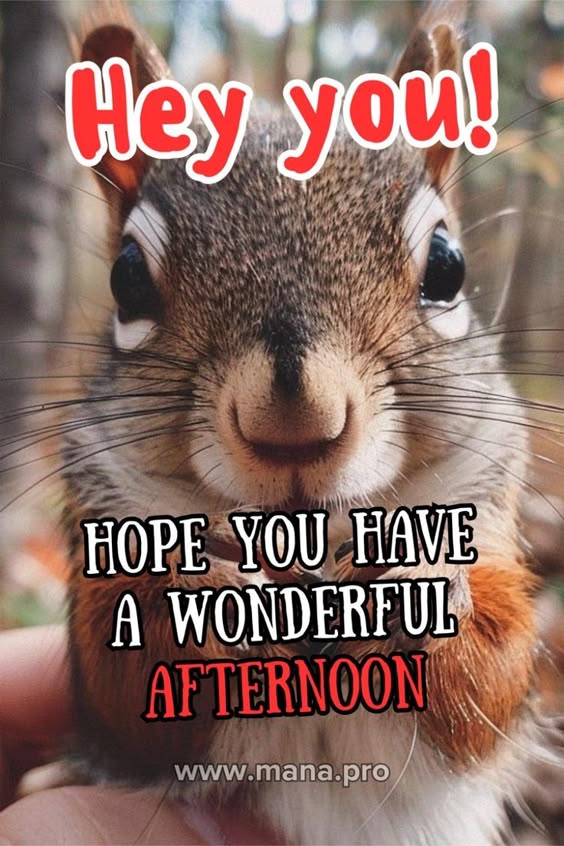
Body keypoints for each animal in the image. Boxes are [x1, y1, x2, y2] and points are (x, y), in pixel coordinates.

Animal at [62, 2, 542, 844]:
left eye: (447, 267)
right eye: (125, 278)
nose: (295, 421)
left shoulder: (489, 520)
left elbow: (496, 664)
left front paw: (416, 588)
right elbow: (120, 678)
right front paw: (203, 593)